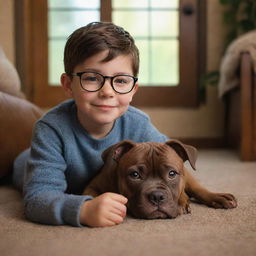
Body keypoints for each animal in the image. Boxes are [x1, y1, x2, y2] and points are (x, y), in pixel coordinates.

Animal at [83, 139, 237, 219]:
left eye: (172, 174)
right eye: (135, 175)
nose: (157, 196)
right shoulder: (92, 187)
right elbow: (94, 197)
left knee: (197, 189)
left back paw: (218, 198)